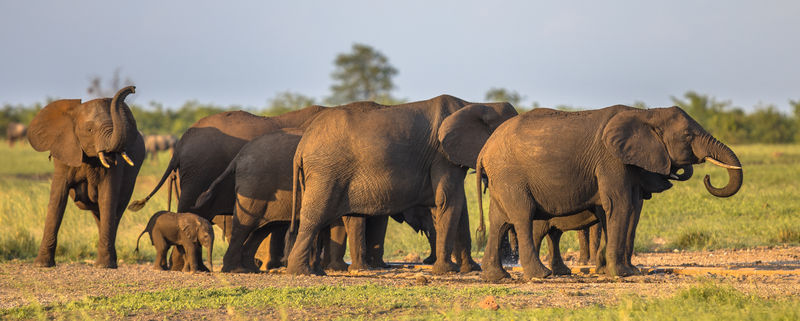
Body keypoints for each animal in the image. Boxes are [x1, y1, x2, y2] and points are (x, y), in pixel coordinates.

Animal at [27, 85, 145, 268]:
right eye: (90, 130)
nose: (132, 89)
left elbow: (107, 198)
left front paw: (104, 266)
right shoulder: (63, 154)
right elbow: (57, 199)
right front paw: (41, 265)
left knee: (115, 211)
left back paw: (111, 261)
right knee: (99, 214)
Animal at [288, 95, 520, 276]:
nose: (512, 257)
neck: (477, 104)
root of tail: (302, 146)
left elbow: (458, 205)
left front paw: (470, 269)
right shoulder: (441, 155)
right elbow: (448, 199)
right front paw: (447, 271)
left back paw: (317, 270)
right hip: (326, 171)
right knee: (314, 215)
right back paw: (303, 272)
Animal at [476, 105, 744, 280]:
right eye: (688, 135)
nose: (707, 177)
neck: (645, 112)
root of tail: (484, 150)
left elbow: (625, 208)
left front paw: (621, 271)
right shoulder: (611, 160)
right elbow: (620, 205)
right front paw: (622, 274)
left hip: (501, 178)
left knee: (499, 221)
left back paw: (498, 277)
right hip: (510, 175)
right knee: (523, 216)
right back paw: (541, 275)